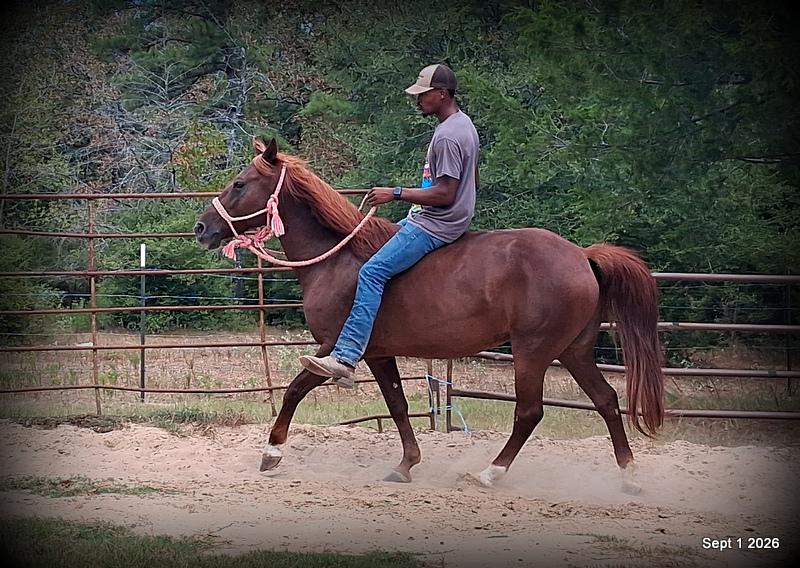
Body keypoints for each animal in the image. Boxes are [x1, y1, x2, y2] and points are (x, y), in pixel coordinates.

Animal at [194, 138, 664, 491]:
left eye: (239, 184)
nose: (201, 228)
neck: (338, 258)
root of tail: (583, 256)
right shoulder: (379, 353)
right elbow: (398, 405)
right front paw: (406, 464)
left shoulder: (334, 346)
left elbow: (294, 390)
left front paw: (271, 452)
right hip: (573, 351)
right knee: (606, 400)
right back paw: (630, 476)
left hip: (533, 352)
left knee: (530, 412)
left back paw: (489, 473)